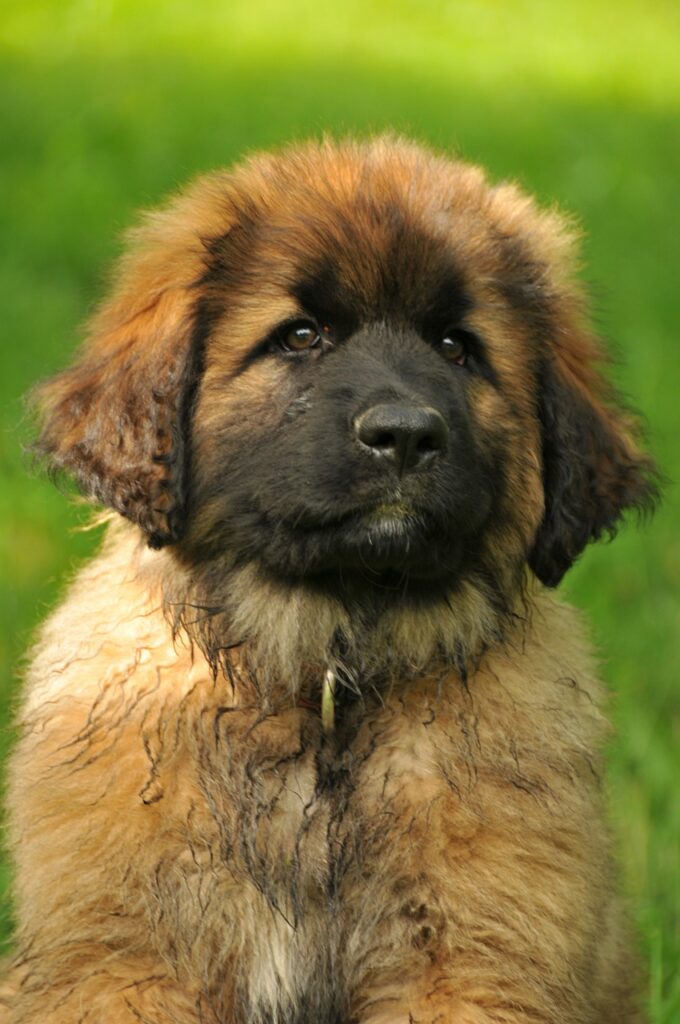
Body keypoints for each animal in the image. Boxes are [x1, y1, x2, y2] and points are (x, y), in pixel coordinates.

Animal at [0, 138, 659, 1024]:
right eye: (301, 336)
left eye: (456, 347)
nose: (405, 435)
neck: (324, 671)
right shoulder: (123, 959)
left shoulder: (466, 963)